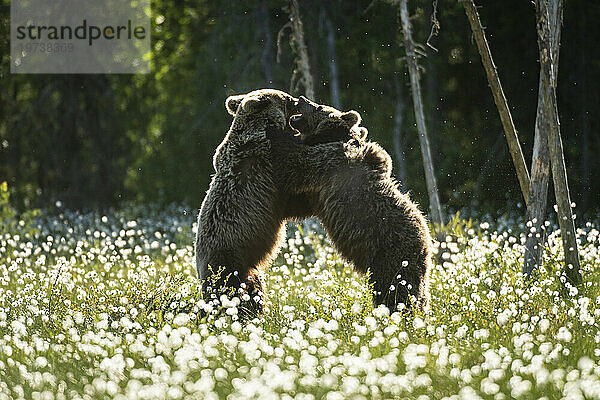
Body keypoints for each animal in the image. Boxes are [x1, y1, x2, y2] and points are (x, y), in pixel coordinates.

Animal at [270, 95, 434, 310]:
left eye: (319, 106)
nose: (301, 98)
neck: (330, 137)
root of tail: (427, 241)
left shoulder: (327, 164)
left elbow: (295, 166)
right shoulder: (318, 190)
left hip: (390, 254)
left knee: (395, 288)